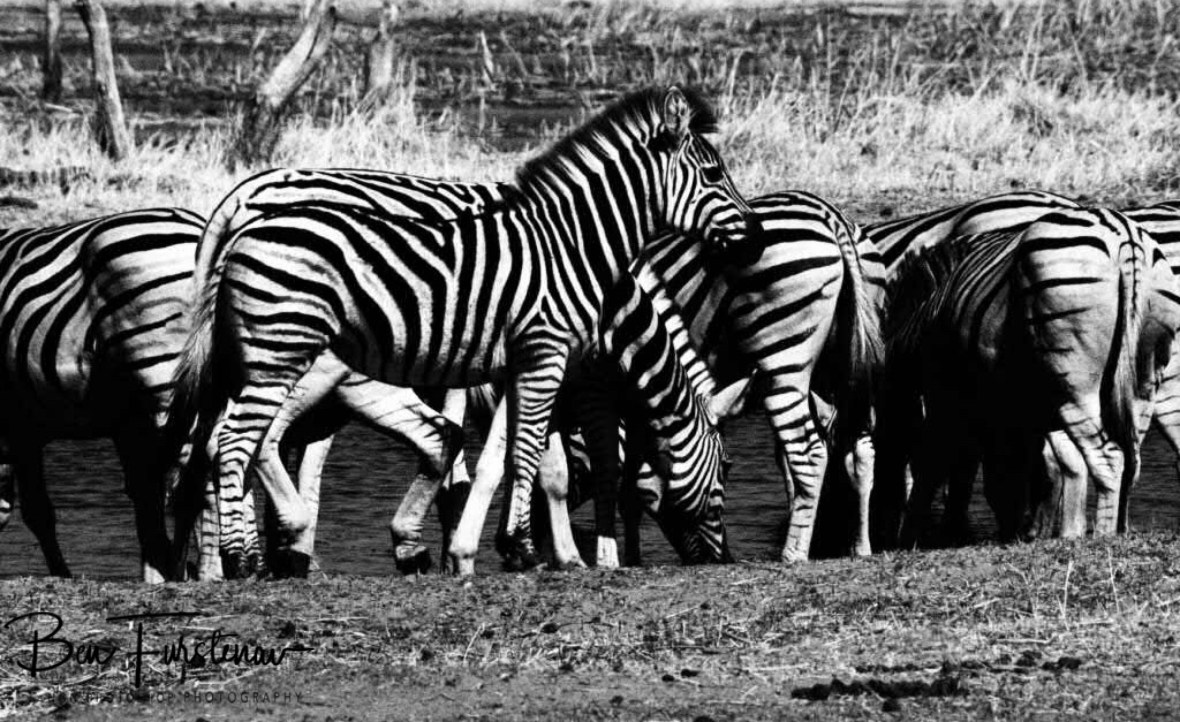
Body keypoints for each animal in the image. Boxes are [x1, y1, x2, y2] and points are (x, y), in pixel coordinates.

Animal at [164, 85, 754, 577]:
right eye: (726, 465)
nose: (723, 559)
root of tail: (244, 197)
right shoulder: (560, 367)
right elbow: (556, 463)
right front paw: (544, 552)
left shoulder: (519, 365)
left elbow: (511, 460)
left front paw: (502, 550)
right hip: (295, 355)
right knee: (241, 440)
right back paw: (255, 554)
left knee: (222, 445)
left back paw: (237, 559)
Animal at [882, 208, 1178, 545]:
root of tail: (1124, 235)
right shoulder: (1024, 410)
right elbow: (1037, 471)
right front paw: (1035, 530)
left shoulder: (953, 398)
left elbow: (945, 466)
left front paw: (914, 537)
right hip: (1144, 375)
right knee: (1131, 458)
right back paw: (1118, 529)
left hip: (1074, 381)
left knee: (1109, 457)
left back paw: (1102, 535)